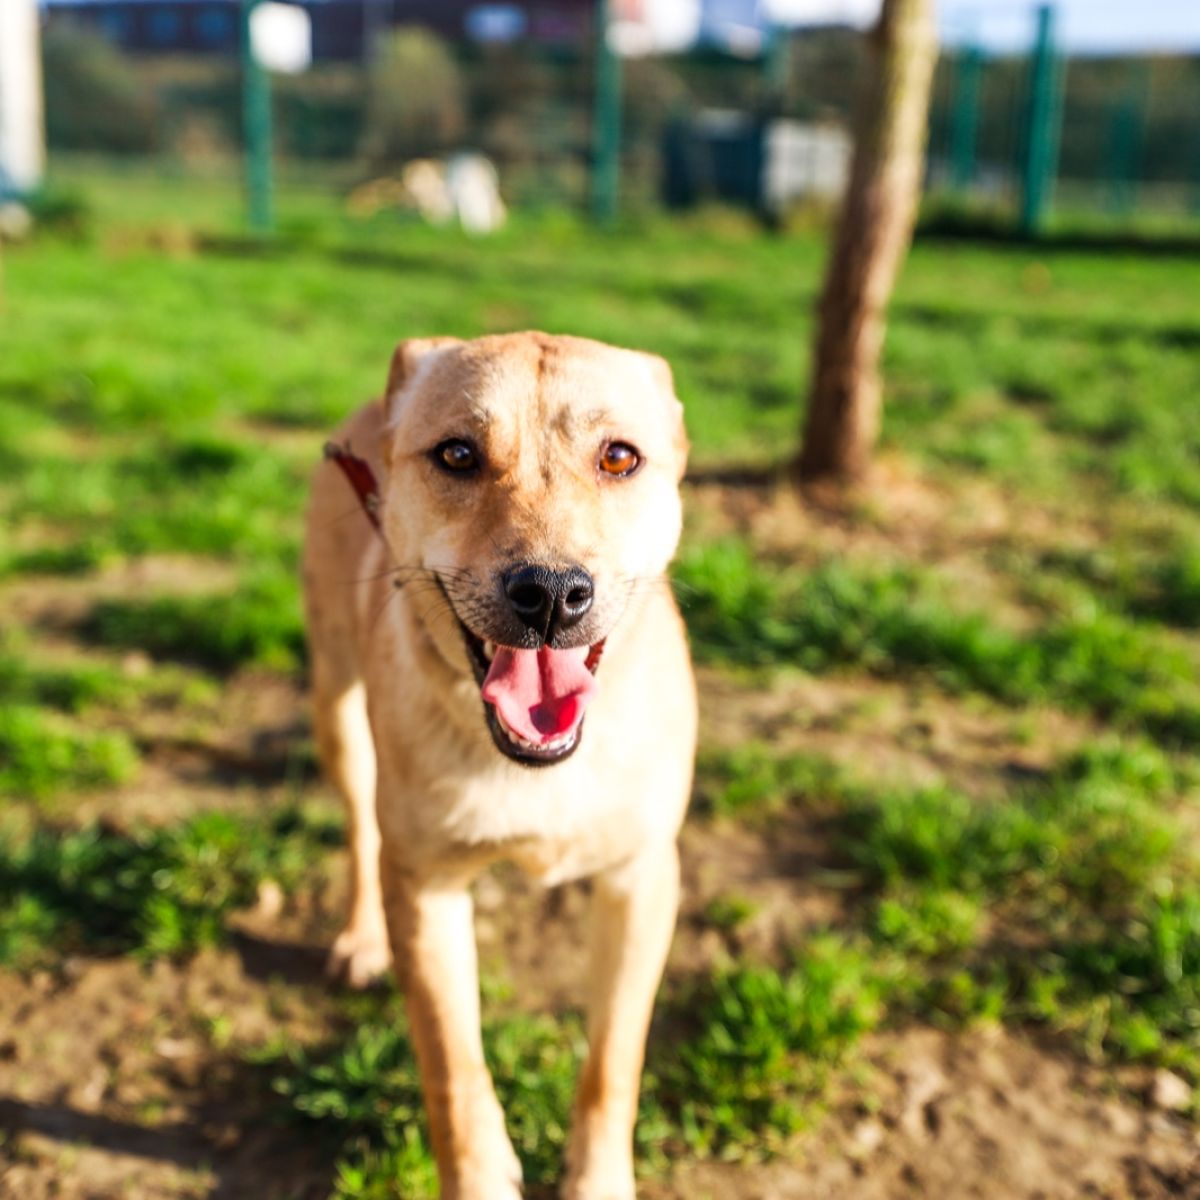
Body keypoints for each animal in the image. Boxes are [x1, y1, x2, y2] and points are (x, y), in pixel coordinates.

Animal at [302, 332, 697, 1199]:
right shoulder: (425, 890)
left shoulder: (641, 878)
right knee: (360, 831)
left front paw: (598, 1180)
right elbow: (453, 1068)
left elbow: (613, 1060)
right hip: (337, 711)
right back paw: (359, 938)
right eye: (457, 454)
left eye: (619, 457)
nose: (550, 593)